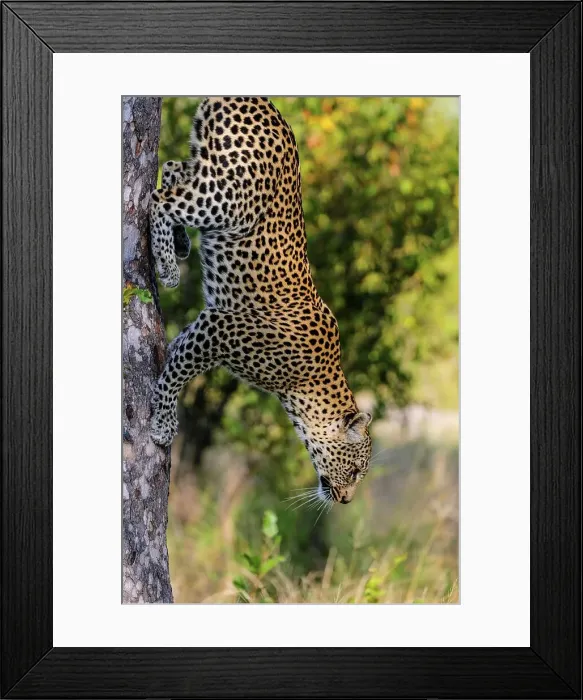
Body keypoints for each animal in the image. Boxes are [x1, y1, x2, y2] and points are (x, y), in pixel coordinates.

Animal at [149, 97, 372, 505]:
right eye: (355, 470)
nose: (347, 499)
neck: (306, 386)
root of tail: (259, 100)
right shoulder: (221, 329)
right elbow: (178, 373)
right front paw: (163, 425)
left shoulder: (209, 324)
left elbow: (175, 352)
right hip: (227, 196)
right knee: (161, 200)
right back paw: (169, 266)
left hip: (208, 163)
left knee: (172, 169)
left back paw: (181, 243)